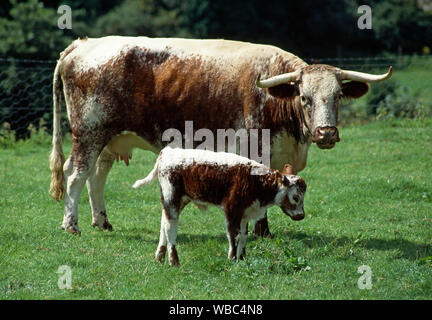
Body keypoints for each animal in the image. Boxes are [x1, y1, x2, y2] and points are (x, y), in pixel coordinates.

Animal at [49, 35, 392, 235]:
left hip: (109, 139)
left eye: (337, 97)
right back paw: (71, 225)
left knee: (96, 178)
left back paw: (102, 222)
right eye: (304, 97)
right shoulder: (252, 149)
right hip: (89, 134)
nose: (326, 133)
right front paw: (261, 232)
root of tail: (82, 43)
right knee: (75, 176)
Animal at [133, 146, 306, 264]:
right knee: (170, 228)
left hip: (177, 201)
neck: (255, 179)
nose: (301, 216)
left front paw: (242, 258)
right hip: (172, 198)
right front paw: (232, 259)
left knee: (164, 224)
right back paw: (173, 261)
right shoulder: (232, 210)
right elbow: (234, 235)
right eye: (296, 197)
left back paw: (160, 257)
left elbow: (244, 235)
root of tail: (167, 152)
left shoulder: (245, 212)